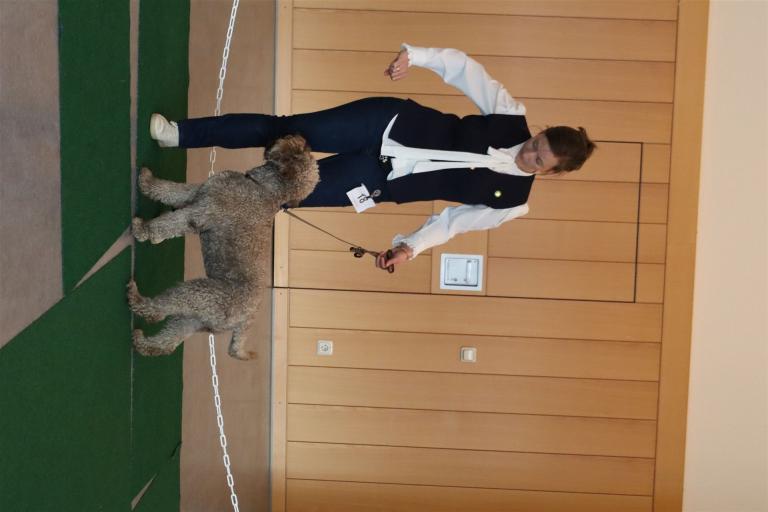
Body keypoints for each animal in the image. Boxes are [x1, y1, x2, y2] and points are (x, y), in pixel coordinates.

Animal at [127, 135, 318, 360]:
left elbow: (167, 223)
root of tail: (246, 319)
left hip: (199, 294)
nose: (297, 136)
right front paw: (146, 181)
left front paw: (142, 230)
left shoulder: (200, 212)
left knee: (158, 312)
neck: (266, 190)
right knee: (165, 344)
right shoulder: (199, 192)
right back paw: (140, 342)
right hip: (193, 319)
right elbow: (171, 190)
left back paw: (137, 299)